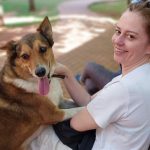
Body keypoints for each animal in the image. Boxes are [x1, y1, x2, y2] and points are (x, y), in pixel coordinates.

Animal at [0, 16, 82, 150]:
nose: (40, 72)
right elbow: (82, 109)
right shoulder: (55, 114)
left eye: (43, 49)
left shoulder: (60, 101)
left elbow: (77, 103)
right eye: (25, 56)